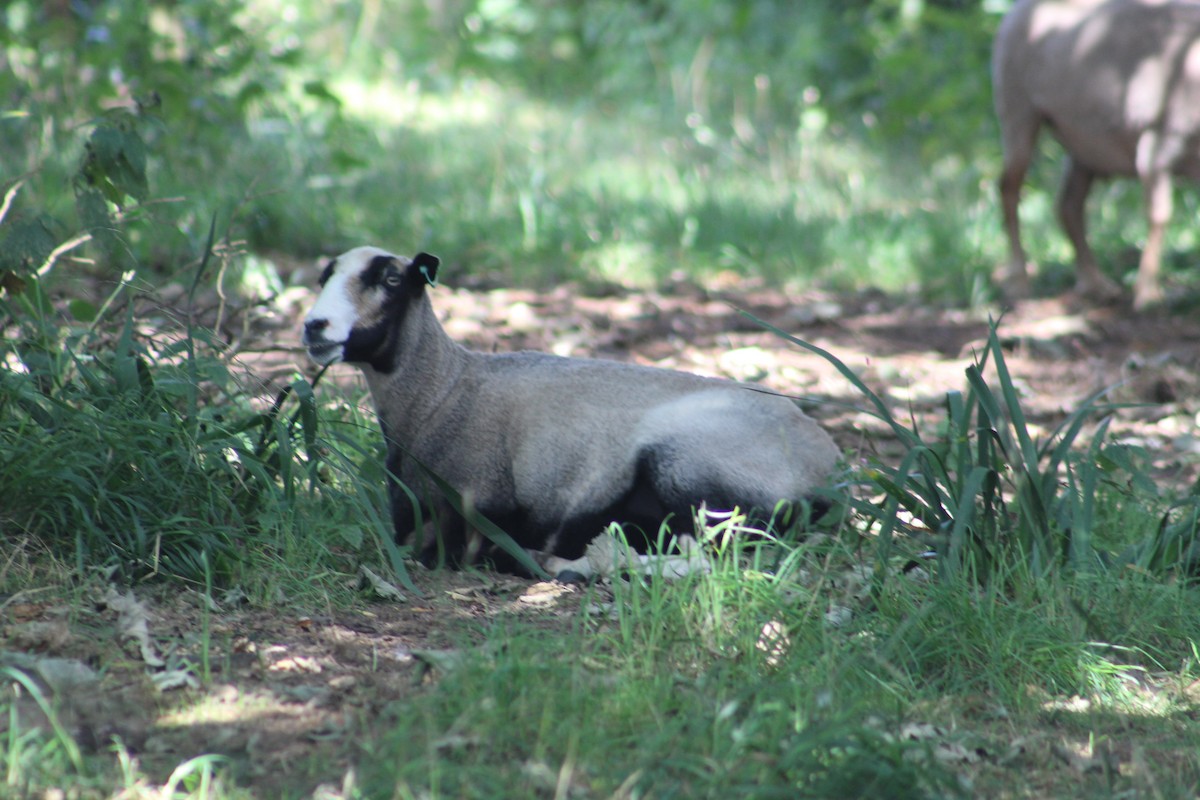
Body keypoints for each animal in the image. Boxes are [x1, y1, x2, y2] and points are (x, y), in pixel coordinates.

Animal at [301, 246, 840, 575]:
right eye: (325, 275)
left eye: (392, 279)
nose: (314, 326)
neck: (445, 392)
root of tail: (834, 473)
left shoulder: (475, 511)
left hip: (690, 468)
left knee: (705, 560)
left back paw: (560, 565)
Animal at [993, 0, 1200, 309]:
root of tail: (1016, 13)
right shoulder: (1156, 146)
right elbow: (1159, 216)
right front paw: (1147, 294)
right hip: (1019, 112)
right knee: (1009, 188)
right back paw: (1019, 282)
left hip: (1084, 147)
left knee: (1069, 205)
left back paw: (1095, 284)